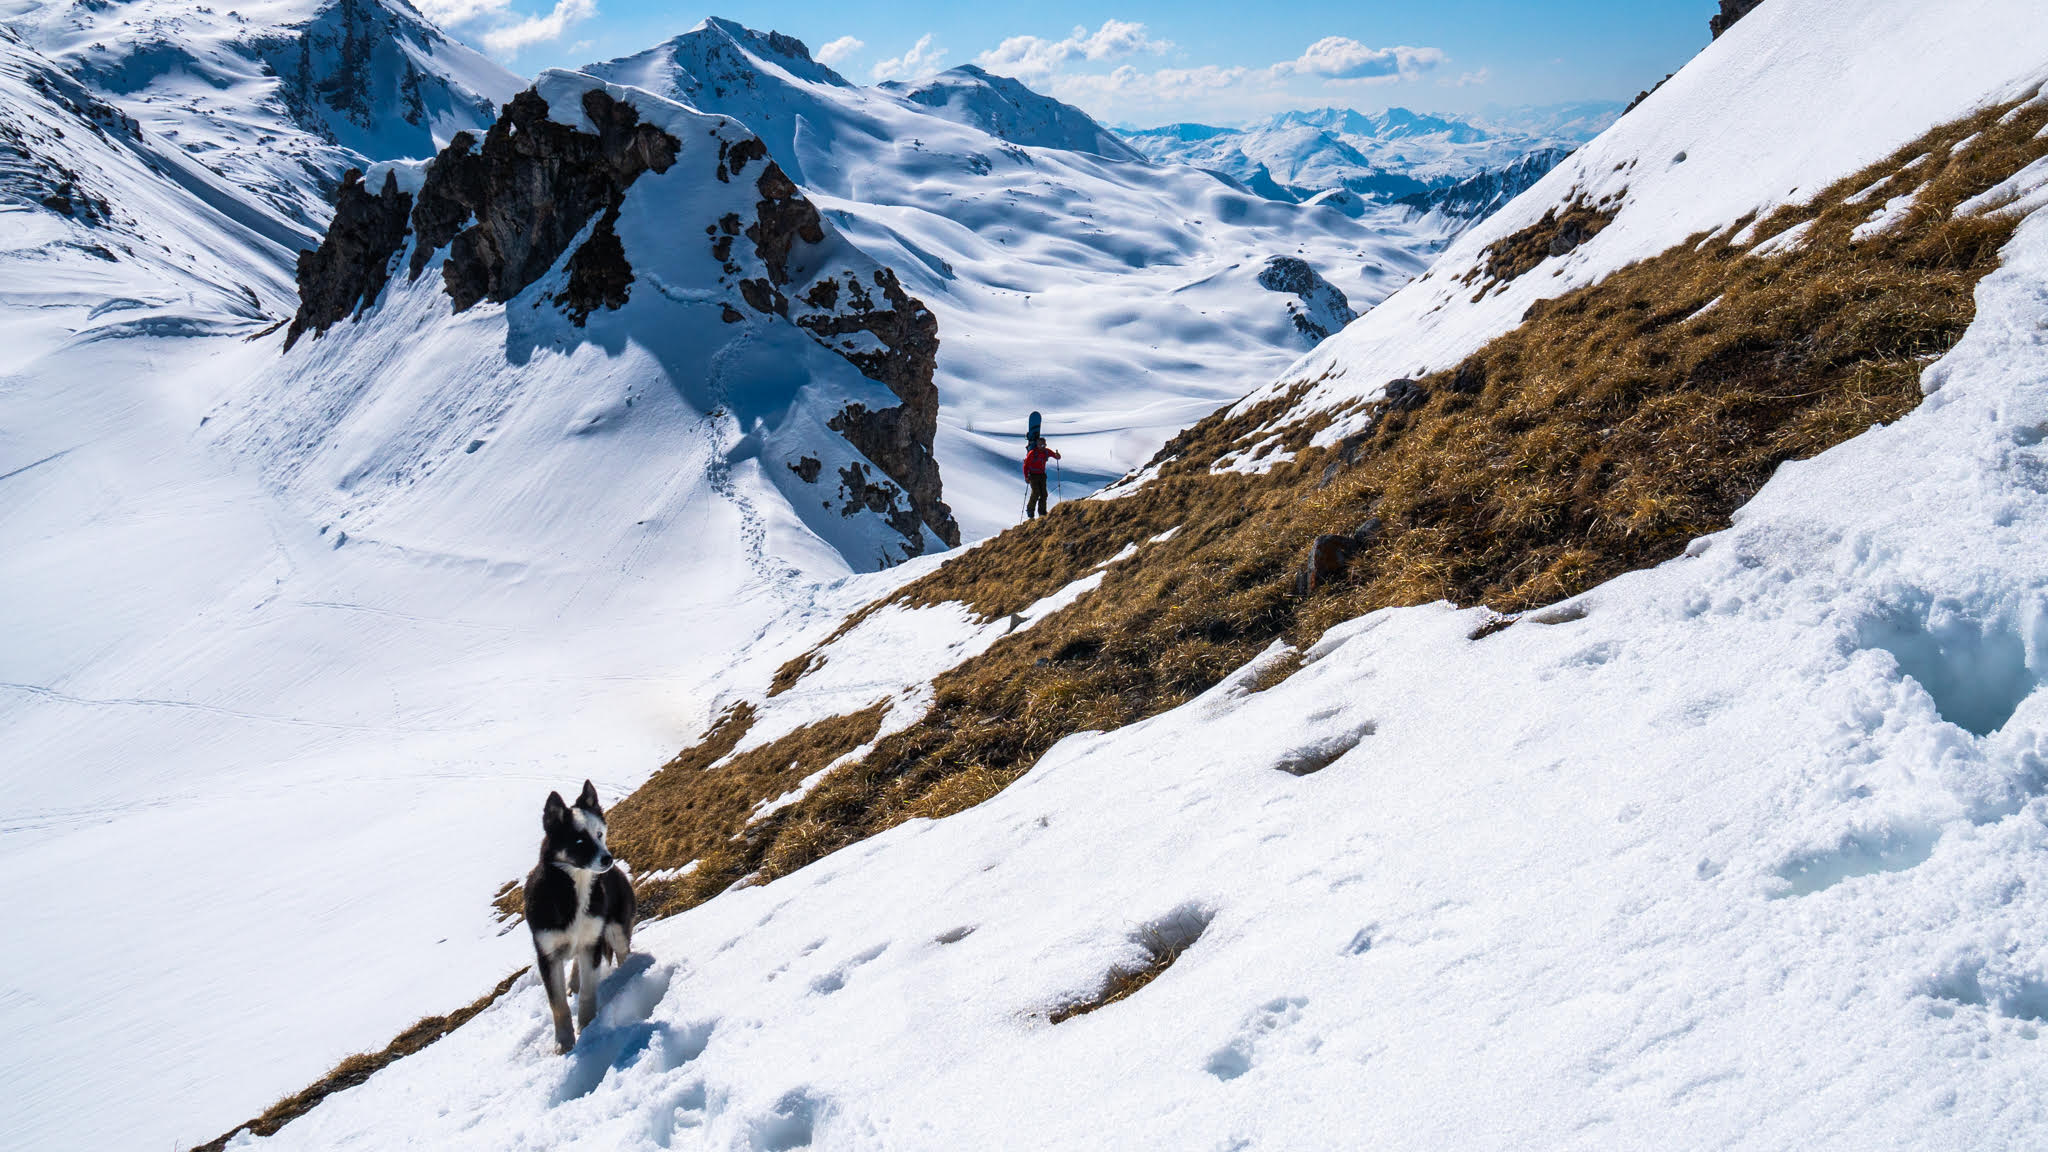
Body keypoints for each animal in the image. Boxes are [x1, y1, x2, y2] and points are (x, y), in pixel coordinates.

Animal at [520, 778, 630, 1049]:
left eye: (599, 834)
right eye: (579, 842)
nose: (608, 859)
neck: (574, 888)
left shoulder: (592, 942)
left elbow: (589, 993)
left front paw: (588, 1028)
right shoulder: (547, 955)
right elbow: (558, 1005)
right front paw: (565, 1043)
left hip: (616, 930)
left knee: (623, 952)